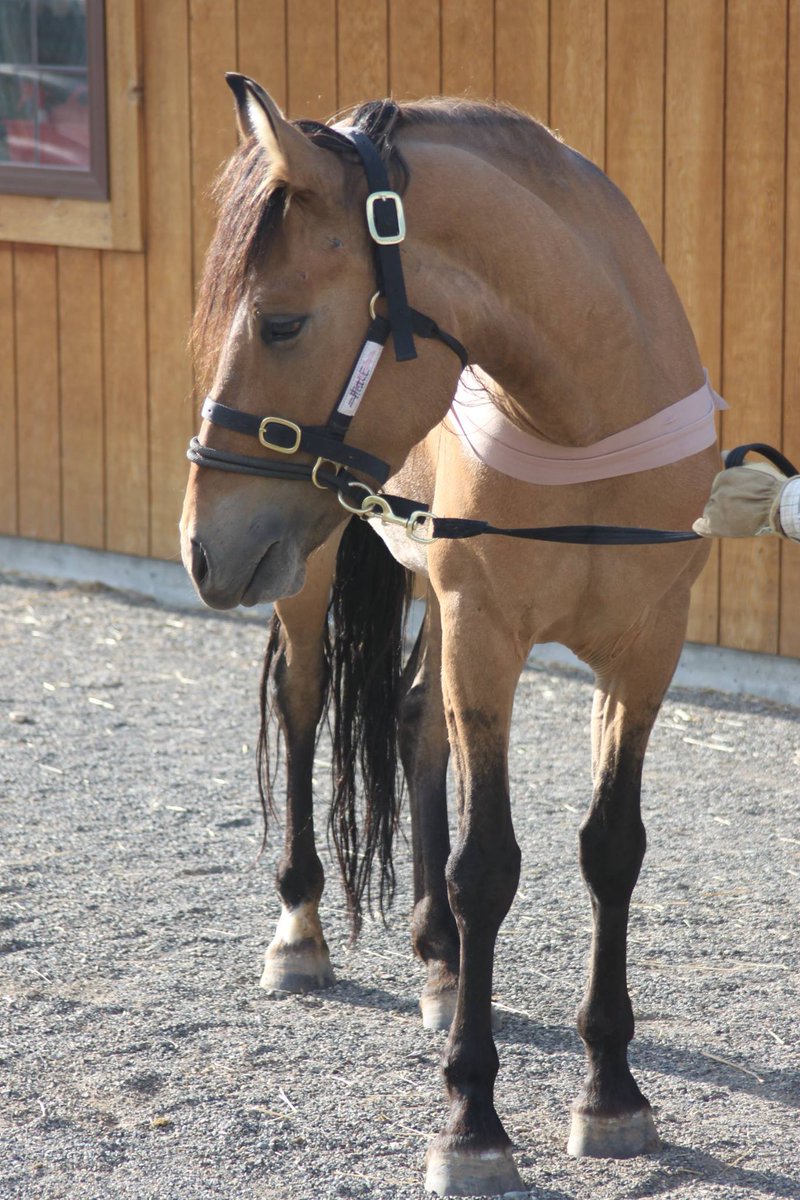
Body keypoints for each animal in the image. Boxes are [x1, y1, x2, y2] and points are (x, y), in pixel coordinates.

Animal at [179, 75, 720, 1196]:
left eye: (282, 323)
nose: (200, 545)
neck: (585, 424)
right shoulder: (488, 635)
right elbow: (488, 869)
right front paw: (472, 1119)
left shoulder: (645, 651)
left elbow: (612, 849)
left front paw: (611, 1091)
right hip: (315, 567)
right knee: (306, 710)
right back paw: (300, 930)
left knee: (414, 725)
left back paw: (436, 960)